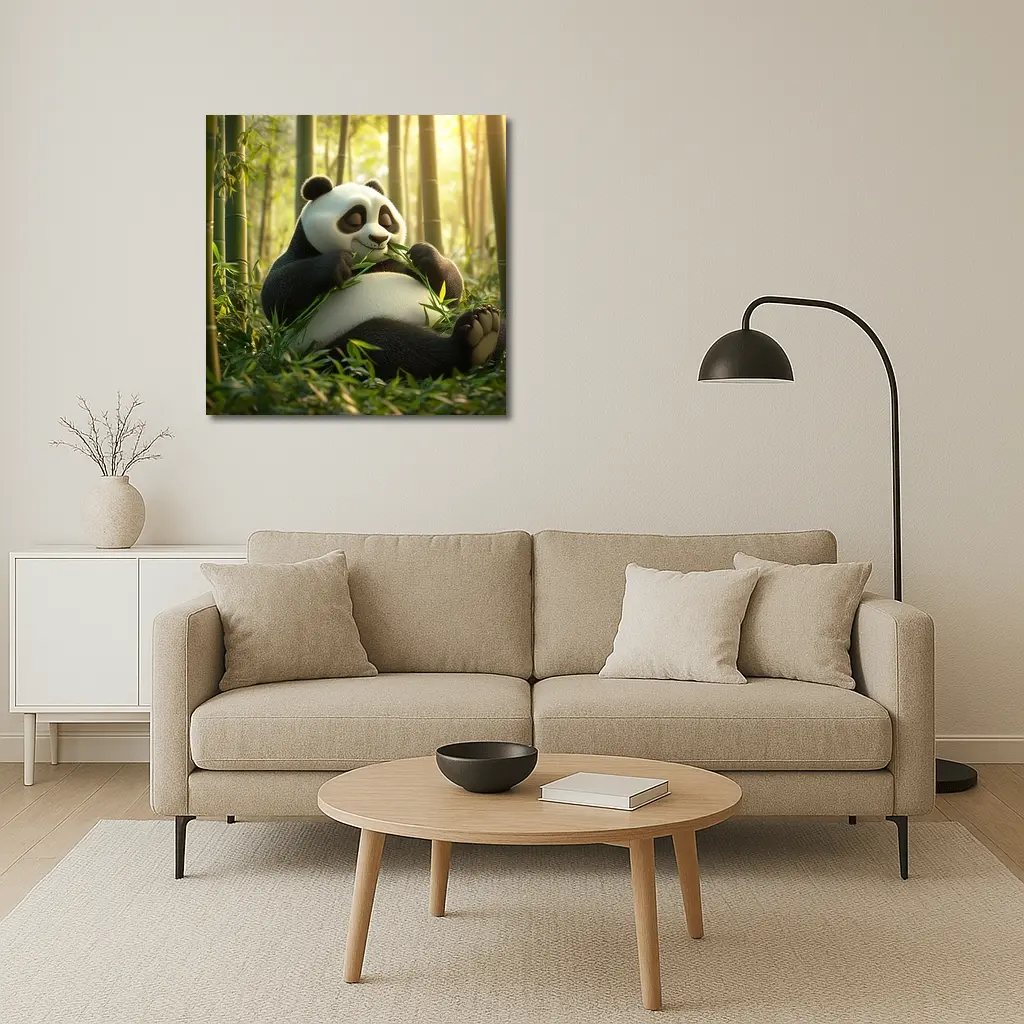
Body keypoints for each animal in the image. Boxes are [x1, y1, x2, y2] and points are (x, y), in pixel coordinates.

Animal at [260, 175, 503, 380]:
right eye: (355, 218)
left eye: (386, 219)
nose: (379, 238)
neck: (367, 262)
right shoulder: (299, 254)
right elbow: (276, 296)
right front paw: (337, 263)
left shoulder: (397, 262)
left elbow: (449, 292)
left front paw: (423, 254)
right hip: (330, 350)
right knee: (387, 343)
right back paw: (473, 341)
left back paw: (486, 327)